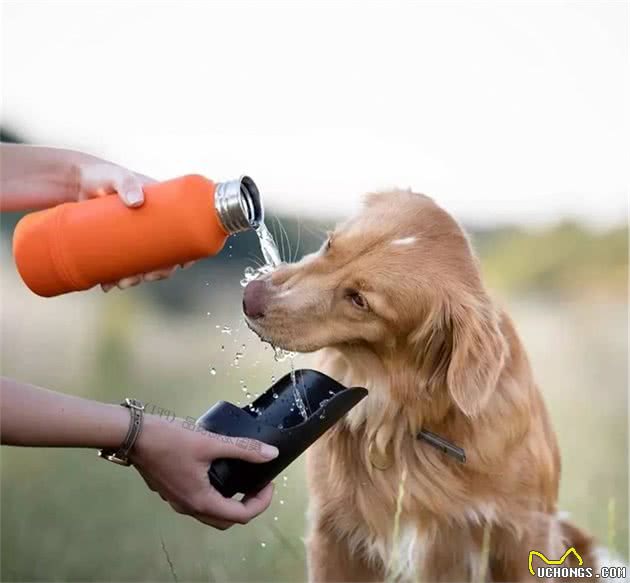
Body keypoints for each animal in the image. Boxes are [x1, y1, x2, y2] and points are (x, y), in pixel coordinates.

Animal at [243, 189, 616, 580]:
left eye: (359, 300)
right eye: (330, 245)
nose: (250, 296)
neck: (399, 418)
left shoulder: (526, 533)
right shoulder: (331, 534)